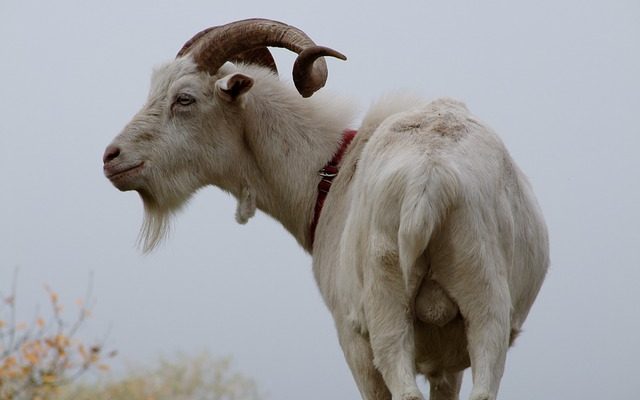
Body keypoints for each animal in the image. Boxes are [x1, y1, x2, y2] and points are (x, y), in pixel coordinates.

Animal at [105, 18, 552, 400]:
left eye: (184, 98)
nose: (112, 157)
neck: (330, 173)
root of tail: (430, 179)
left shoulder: (350, 334)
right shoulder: (446, 363)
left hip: (384, 313)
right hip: (484, 305)